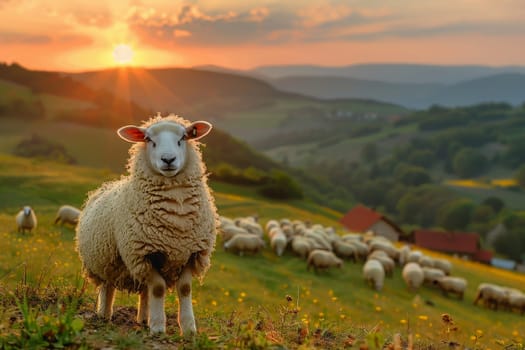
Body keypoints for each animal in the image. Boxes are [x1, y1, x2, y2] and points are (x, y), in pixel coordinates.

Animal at [75, 114, 217, 336]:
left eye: (183, 137)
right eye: (149, 139)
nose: (168, 159)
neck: (176, 215)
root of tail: (105, 186)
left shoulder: (190, 252)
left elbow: (184, 289)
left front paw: (188, 328)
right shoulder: (143, 253)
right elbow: (158, 288)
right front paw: (158, 327)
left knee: (144, 291)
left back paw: (143, 318)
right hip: (104, 262)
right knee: (108, 287)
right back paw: (104, 315)